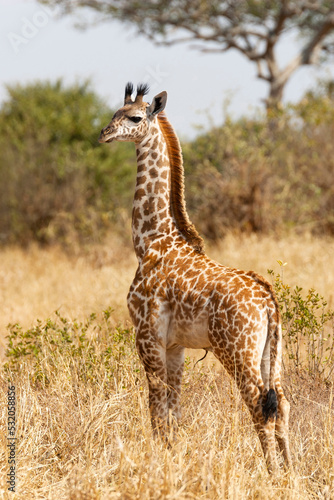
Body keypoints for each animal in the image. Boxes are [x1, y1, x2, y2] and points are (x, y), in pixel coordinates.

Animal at [98, 83, 292, 472]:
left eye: (135, 118)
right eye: (114, 113)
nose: (104, 134)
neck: (150, 240)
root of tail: (268, 299)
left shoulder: (147, 334)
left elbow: (156, 404)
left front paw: (157, 462)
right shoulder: (176, 345)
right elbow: (174, 407)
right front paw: (172, 457)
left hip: (236, 351)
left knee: (259, 405)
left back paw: (272, 474)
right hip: (271, 352)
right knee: (282, 404)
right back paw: (293, 473)